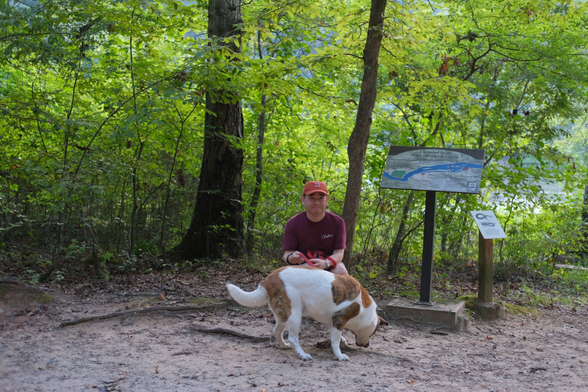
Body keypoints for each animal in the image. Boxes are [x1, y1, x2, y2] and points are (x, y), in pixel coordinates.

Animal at [225, 264, 386, 360]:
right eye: (374, 332)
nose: (367, 345)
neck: (363, 306)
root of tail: (268, 279)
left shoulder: (333, 322)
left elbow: (337, 337)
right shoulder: (340, 320)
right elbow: (335, 342)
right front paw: (339, 355)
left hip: (284, 316)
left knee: (277, 332)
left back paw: (284, 346)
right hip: (295, 315)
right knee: (293, 337)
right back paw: (302, 354)